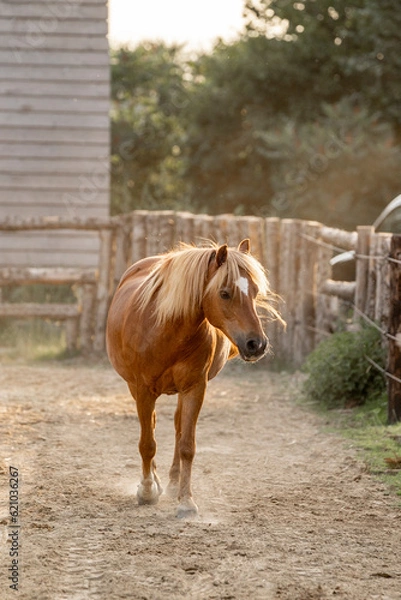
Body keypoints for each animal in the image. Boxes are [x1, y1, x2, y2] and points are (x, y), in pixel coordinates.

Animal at [106, 238, 282, 516]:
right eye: (224, 293)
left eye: (254, 291)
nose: (257, 344)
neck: (164, 330)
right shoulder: (142, 390)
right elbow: (147, 443)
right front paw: (147, 490)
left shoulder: (195, 388)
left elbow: (187, 445)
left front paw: (186, 500)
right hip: (137, 390)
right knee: (151, 427)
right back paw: (155, 483)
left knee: (178, 428)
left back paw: (172, 483)